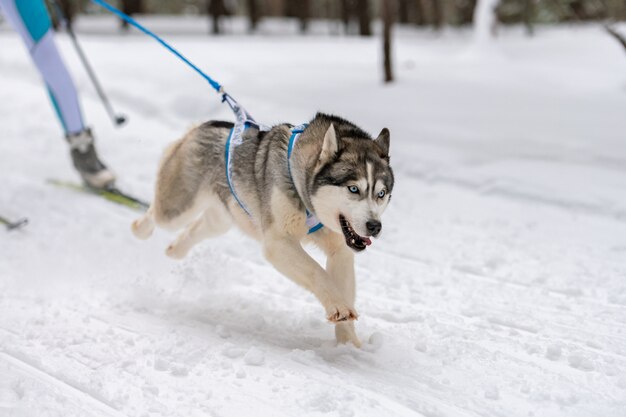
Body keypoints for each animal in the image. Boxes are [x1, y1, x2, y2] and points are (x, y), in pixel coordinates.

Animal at [132, 112, 392, 346]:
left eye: (381, 194)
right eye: (353, 189)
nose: (374, 226)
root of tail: (206, 125)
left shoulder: (340, 248)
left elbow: (341, 283)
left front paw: (349, 345)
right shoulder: (278, 242)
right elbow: (317, 272)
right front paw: (339, 308)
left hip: (220, 219)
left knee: (195, 229)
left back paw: (175, 249)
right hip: (176, 209)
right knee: (157, 214)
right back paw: (140, 229)